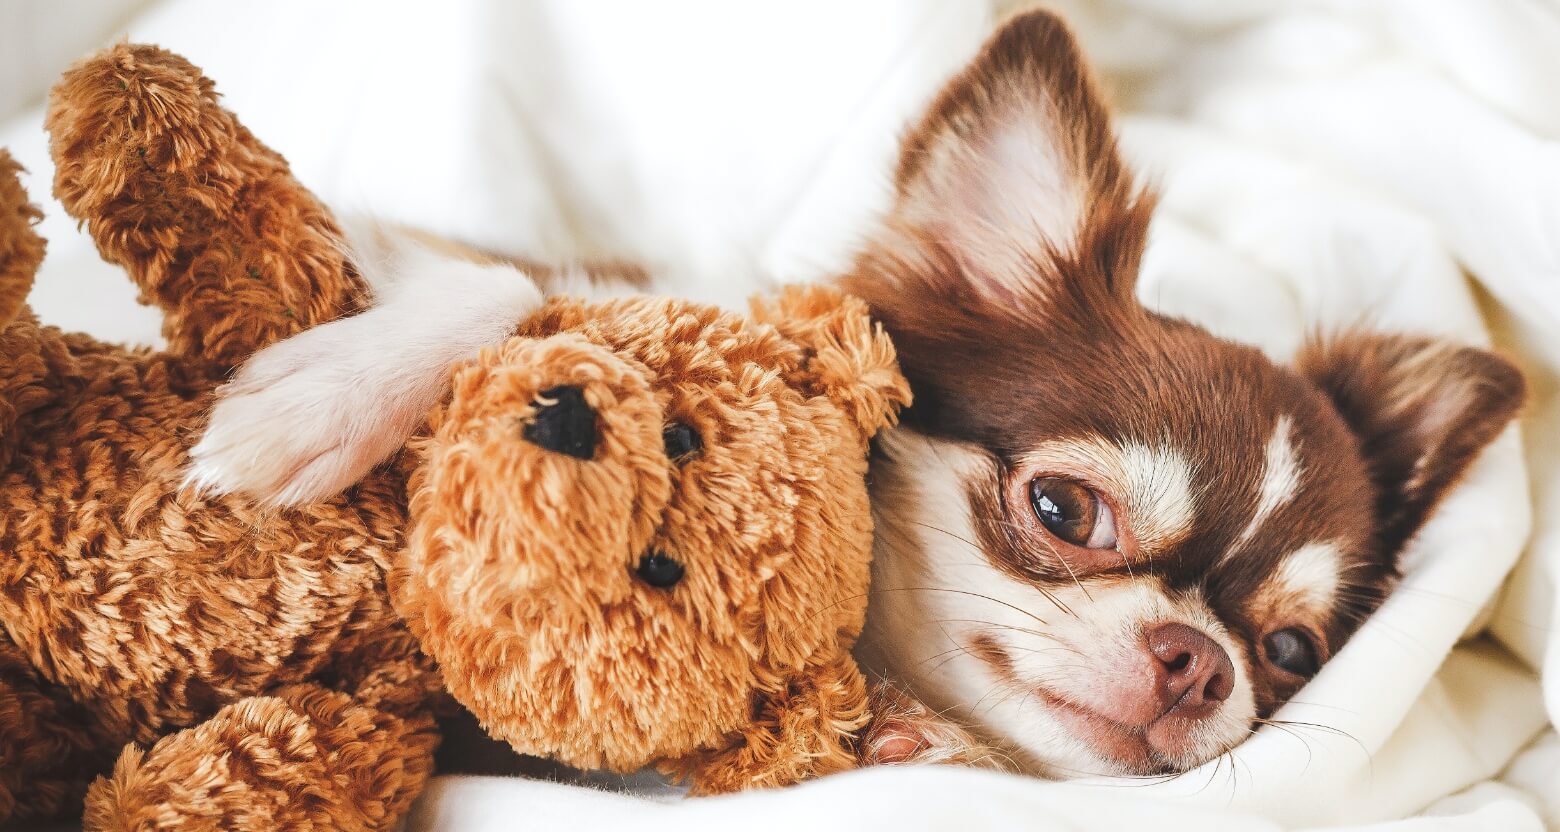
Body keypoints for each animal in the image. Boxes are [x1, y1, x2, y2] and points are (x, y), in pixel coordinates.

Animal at [195, 9, 1522, 780]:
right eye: (1064, 512)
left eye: (1291, 650)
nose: (1199, 660)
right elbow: (512, 287)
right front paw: (306, 407)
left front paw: (904, 735)